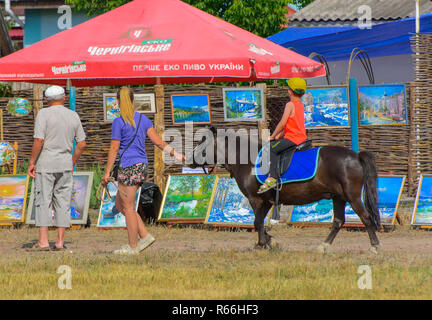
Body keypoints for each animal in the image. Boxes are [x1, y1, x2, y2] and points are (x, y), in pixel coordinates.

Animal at [191, 126, 380, 254]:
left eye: (202, 142)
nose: (189, 158)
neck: (247, 161)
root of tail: (355, 156)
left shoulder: (255, 199)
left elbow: (257, 222)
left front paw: (262, 244)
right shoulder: (266, 201)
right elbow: (259, 223)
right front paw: (270, 241)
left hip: (352, 196)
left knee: (365, 217)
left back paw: (375, 246)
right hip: (338, 197)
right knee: (338, 221)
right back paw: (323, 246)